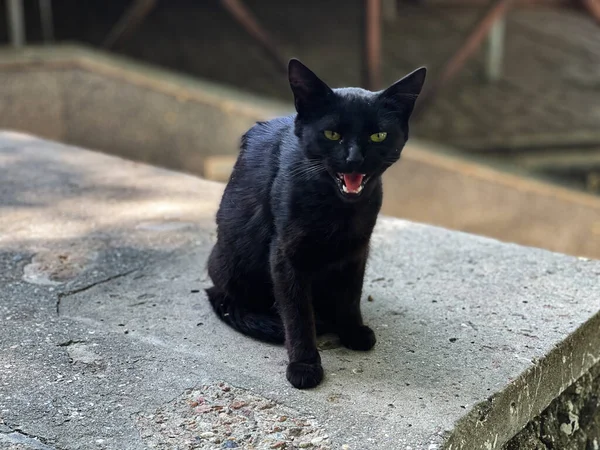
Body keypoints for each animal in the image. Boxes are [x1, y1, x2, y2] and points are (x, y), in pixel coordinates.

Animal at [206, 58, 426, 388]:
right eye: (332, 134)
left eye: (378, 136)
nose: (354, 159)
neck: (338, 210)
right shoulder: (285, 255)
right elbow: (297, 314)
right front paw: (304, 364)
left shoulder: (357, 249)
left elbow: (351, 294)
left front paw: (352, 330)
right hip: (232, 262)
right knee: (228, 300)